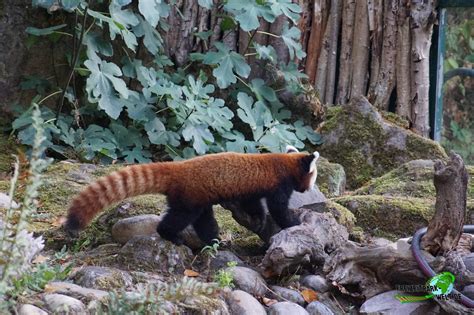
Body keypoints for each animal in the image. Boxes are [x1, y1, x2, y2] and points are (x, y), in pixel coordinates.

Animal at [65, 151, 318, 247]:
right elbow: (278, 208)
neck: (285, 162)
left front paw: (260, 218)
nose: (310, 188)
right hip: (190, 197)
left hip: (198, 198)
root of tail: (178, 168)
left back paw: (214, 242)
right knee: (181, 218)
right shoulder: (279, 184)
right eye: (314, 176)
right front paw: (293, 223)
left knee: (204, 221)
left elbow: (254, 205)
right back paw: (170, 235)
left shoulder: (252, 191)